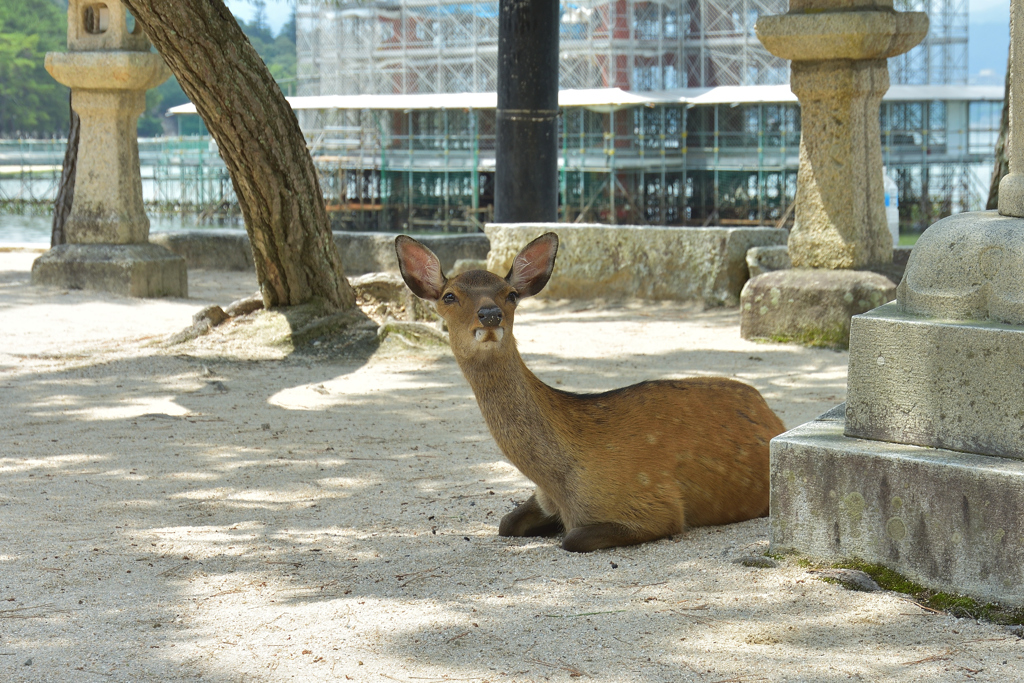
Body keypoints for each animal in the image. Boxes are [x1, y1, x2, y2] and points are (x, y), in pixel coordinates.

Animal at [391, 232, 782, 552]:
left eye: (511, 294)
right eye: (449, 296)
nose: (490, 314)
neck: (562, 482)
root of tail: (770, 411)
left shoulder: (658, 505)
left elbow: (572, 539)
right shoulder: (542, 498)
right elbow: (505, 523)